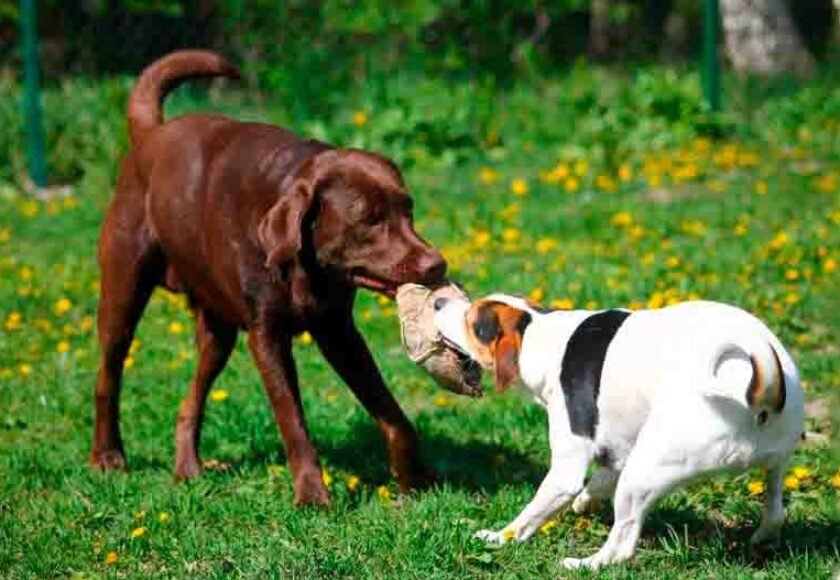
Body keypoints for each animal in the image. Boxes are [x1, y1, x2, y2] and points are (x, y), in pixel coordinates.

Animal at [92, 51, 446, 508]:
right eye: (369, 219)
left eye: (408, 209)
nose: (437, 265)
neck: (302, 266)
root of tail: (151, 133)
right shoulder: (267, 338)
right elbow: (293, 421)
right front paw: (312, 495)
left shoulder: (339, 331)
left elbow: (392, 413)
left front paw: (413, 477)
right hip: (123, 293)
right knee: (108, 374)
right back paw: (107, 456)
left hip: (218, 333)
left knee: (192, 398)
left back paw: (187, 468)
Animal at [436, 296, 804, 568]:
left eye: (471, 320)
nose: (439, 301)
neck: (541, 334)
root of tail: (763, 387)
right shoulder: (619, 448)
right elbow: (598, 481)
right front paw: (585, 502)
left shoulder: (567, 470)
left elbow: (528, 517)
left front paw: (499, 538)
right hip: (774, 464)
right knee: (776, 510)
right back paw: (763, 538)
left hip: (643, 473)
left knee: (622, 546)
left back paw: (585, 564)